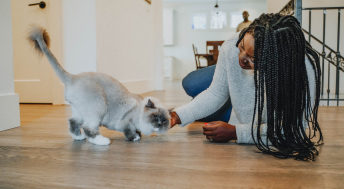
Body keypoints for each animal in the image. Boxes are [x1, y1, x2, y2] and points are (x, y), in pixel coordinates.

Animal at [28, 27, 171, 145]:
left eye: (164, 121)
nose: (159, 124)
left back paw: (79, 138)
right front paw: (135, 138)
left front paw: (139, 136)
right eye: (155, 117)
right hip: (98, 107)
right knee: (88, 128)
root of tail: (73, 77)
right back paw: (102, 141)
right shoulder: (126, 122)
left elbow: (138, 131)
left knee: (73, 122)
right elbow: (130, 132)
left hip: (81, 111)